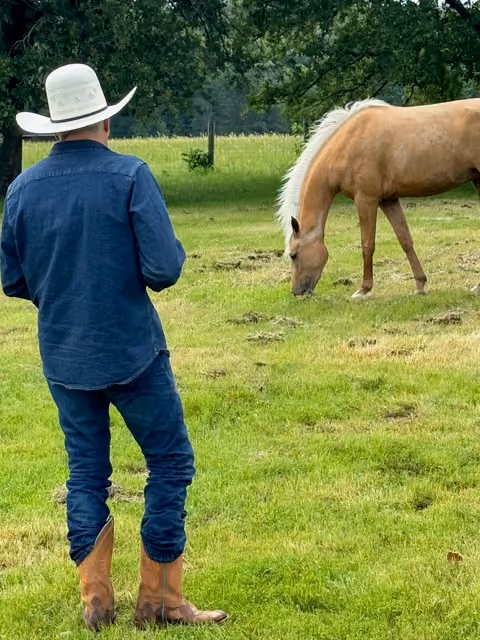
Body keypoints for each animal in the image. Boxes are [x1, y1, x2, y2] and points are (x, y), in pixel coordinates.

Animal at [277, 98, 480, 298]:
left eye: (293, 254)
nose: (296, 292)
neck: (348, 143)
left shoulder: (365, 200)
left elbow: (367, 244)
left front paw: (364, 290)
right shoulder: (388, 201)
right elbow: (405, 240)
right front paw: (420, 285)